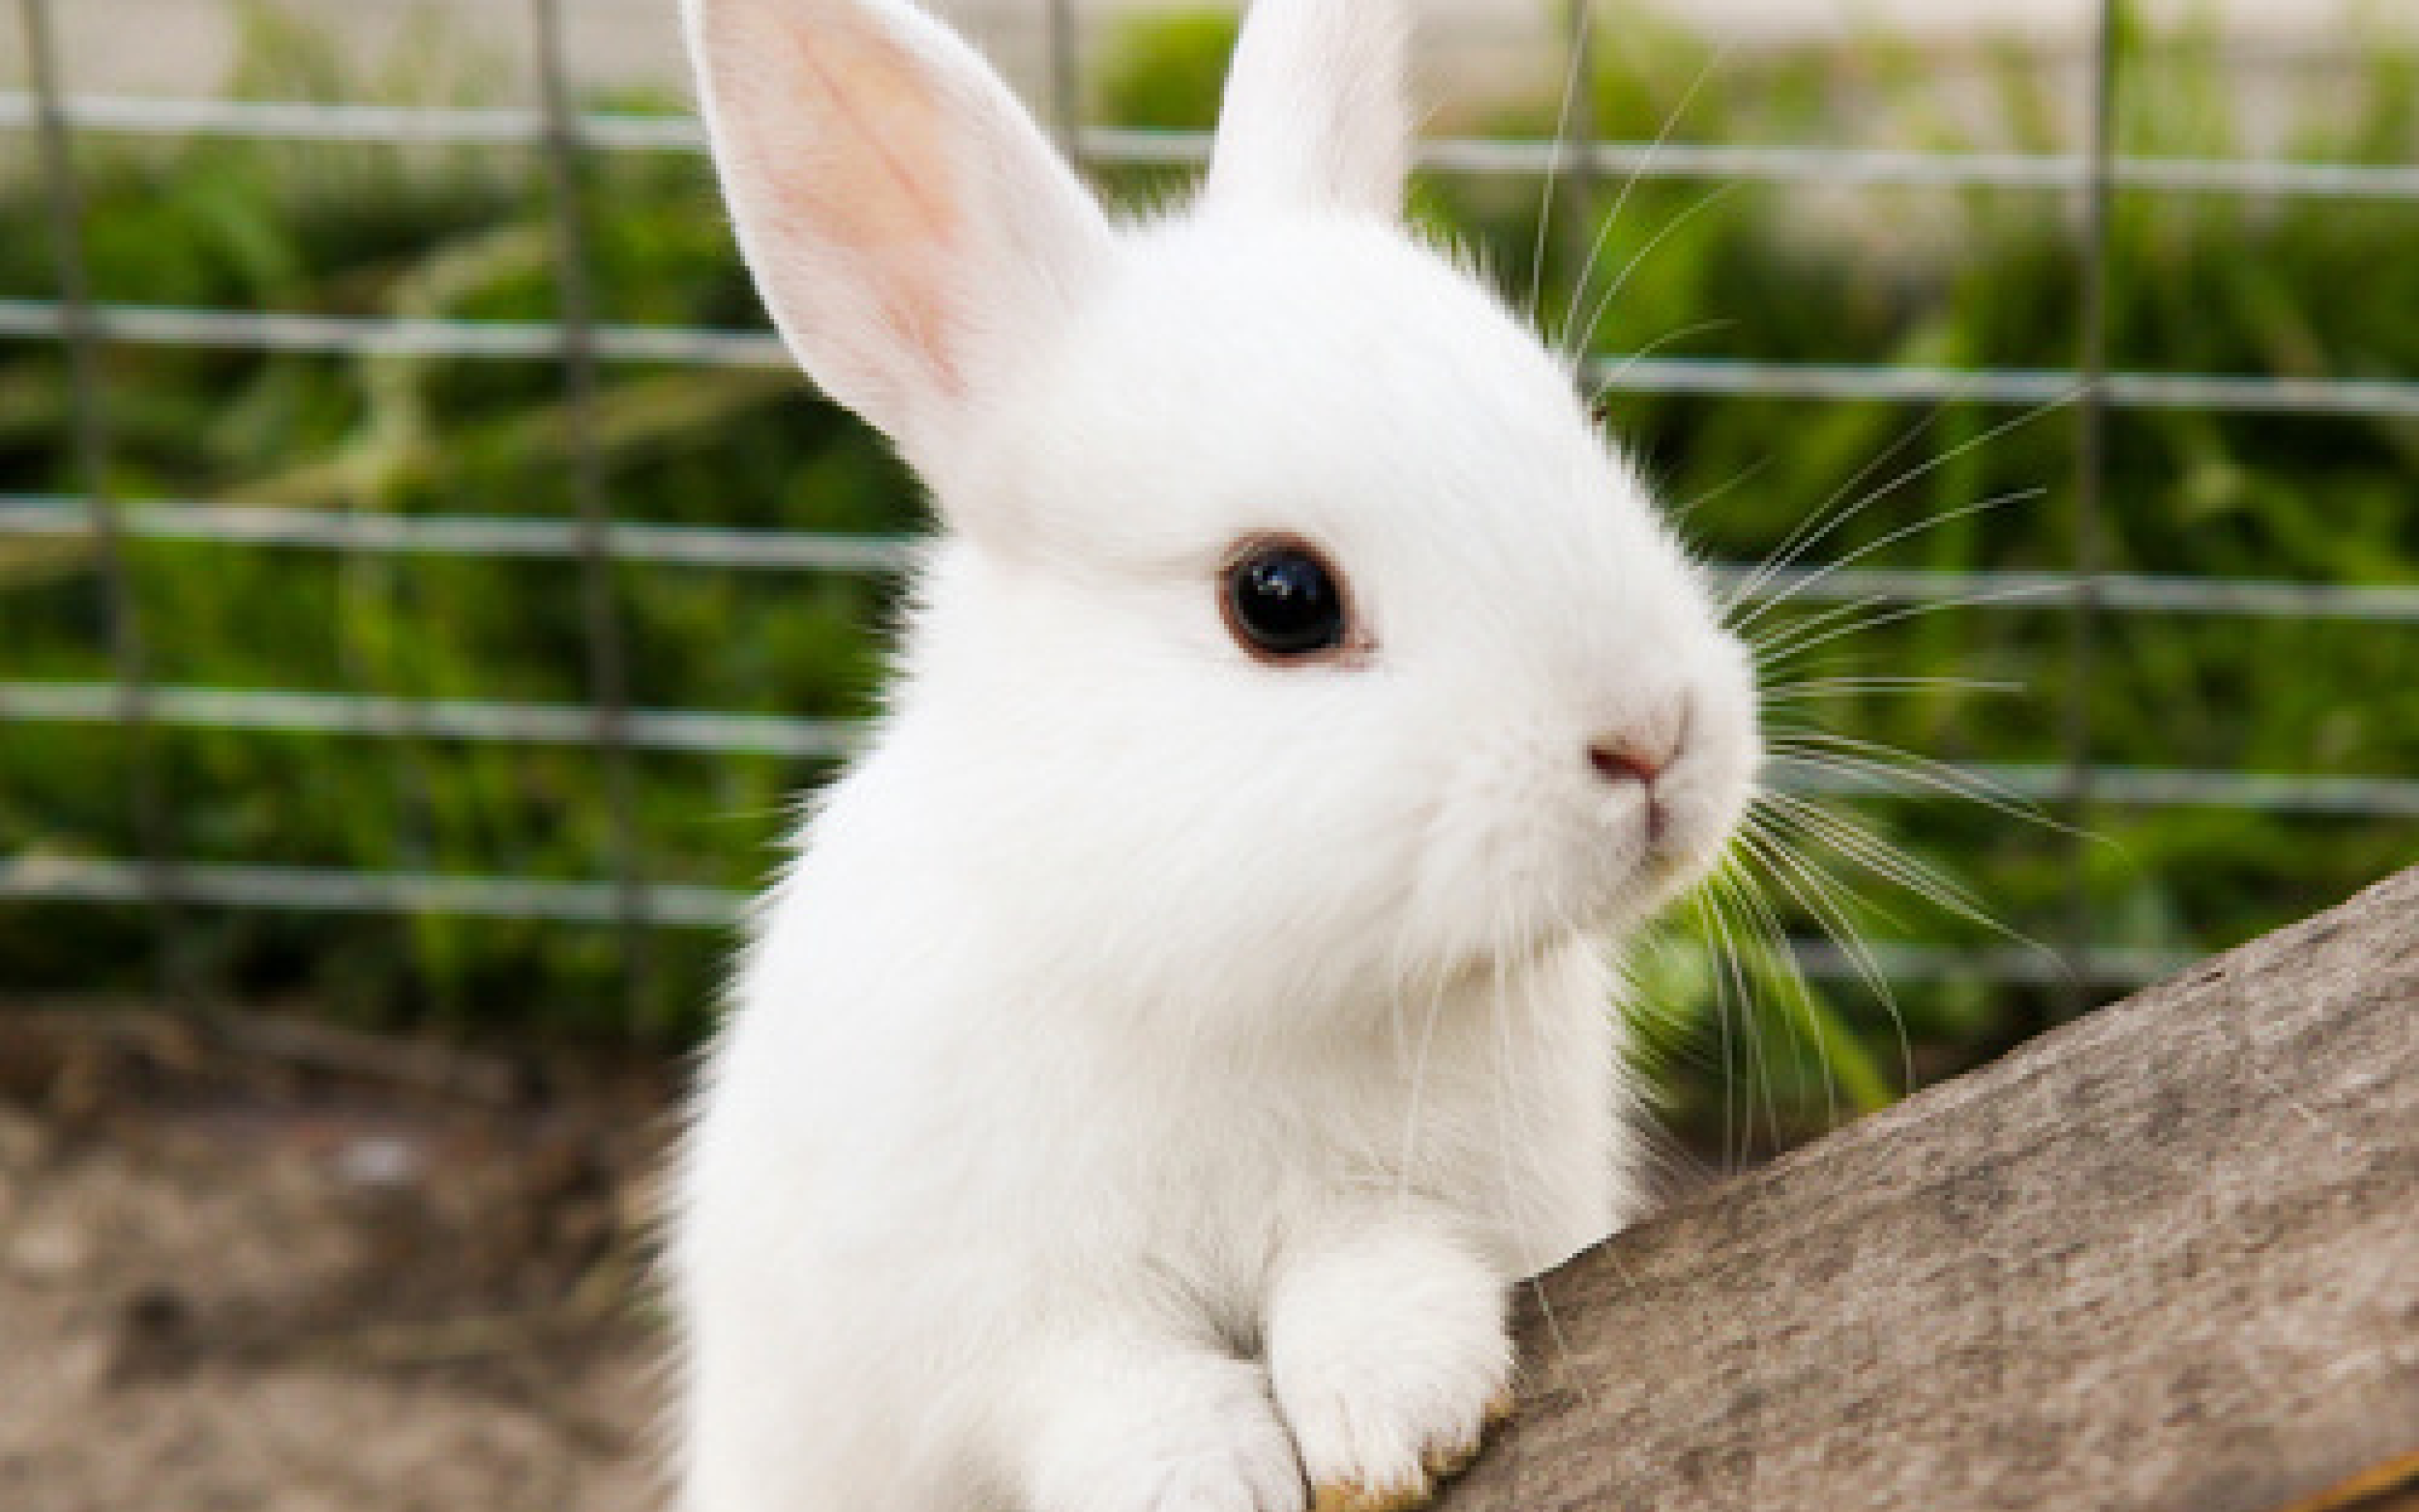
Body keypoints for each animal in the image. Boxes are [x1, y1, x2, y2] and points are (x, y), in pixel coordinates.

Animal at [669, 0, 1761, 1508]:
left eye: (1576, 427)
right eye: (1278, 597)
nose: (1652, 739)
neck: (1226, 971)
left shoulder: (1425, 1199)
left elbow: (1374, 1267)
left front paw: (1399, 1412)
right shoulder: (991, 1313)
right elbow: (1103, 1382)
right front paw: (1201, 1473)